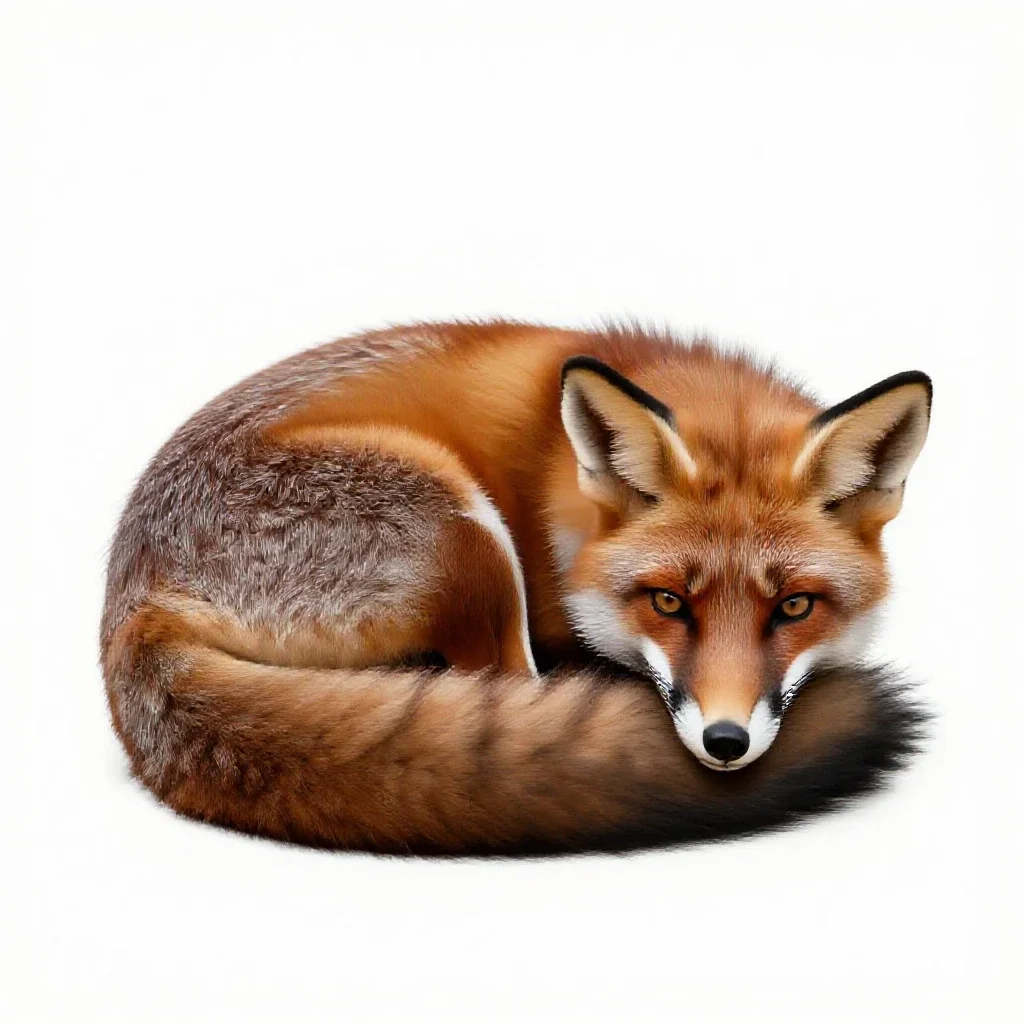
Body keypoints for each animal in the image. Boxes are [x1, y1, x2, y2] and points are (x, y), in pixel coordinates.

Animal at [101, 321, 930, 854]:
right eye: (668, 602)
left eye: (794, 607)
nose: (724, 743)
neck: (558, 483)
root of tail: (132, 601)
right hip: (461, 524)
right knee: (502, 679)